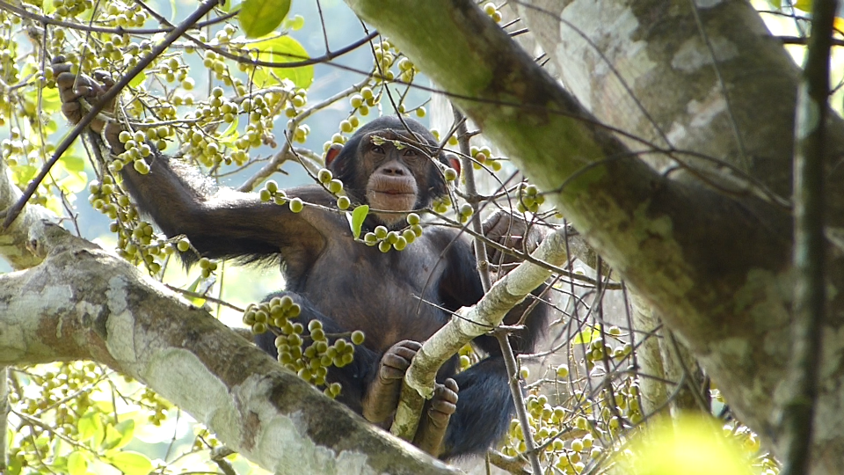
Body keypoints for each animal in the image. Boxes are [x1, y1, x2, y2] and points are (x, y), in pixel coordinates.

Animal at [56, 59, 552, 462]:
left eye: (412, 153)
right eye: (378, 148)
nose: (394, 169)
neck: (383, 231)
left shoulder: (452, 245)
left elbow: (510, 335)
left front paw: (514, 240)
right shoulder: (302, 209)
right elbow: (196, 220)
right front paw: (101, 108)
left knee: (509, 370)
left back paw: (435, 432)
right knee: (280, 307)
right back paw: (378, 392)